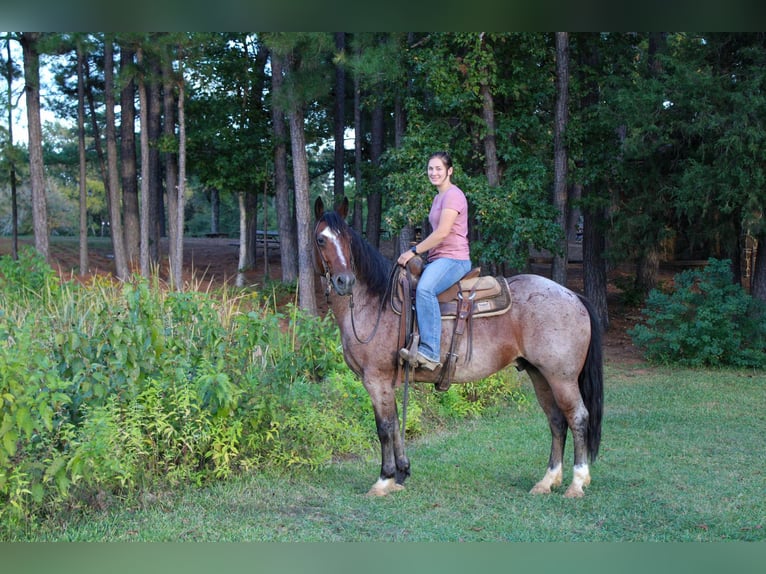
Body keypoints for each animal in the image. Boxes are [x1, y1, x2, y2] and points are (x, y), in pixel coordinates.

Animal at [316, 197, 604, 500]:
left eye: (347, 239)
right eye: (321, 239)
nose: (344, 281)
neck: (374, 302)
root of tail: (573, 295)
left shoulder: (376, 379)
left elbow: (384, 427)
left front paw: (384, 479)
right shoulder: (388, 382)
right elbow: (395, 424)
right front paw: (402, 473)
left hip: (562, 378)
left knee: (578, 417)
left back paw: (577, 482)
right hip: (540, 375)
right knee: (557, 421)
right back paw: (547, 481)